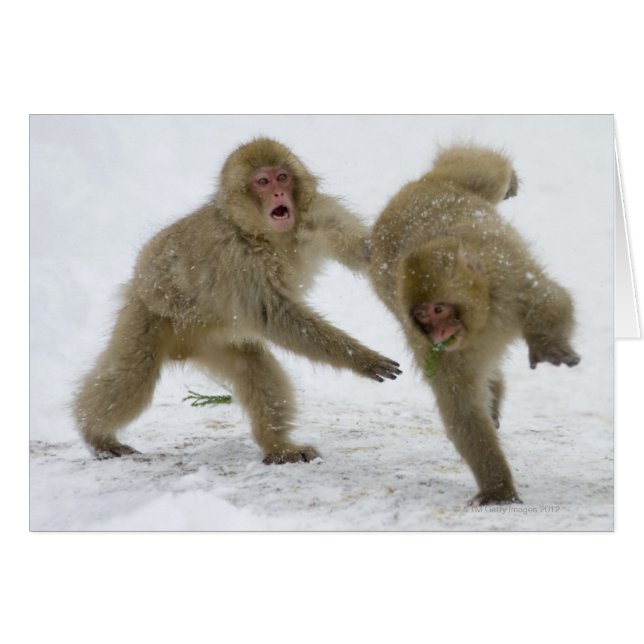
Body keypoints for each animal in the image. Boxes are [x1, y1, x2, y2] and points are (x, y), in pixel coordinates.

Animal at [74, 138, 401, 464]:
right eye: (263, 182)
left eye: (282, 177)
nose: (279, 193)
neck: (265, 235)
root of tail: (183, 349)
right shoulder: (236, 258)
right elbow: (276, 316)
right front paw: (362, 358)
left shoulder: (317, 212)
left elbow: (361, 250)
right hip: (148, 315)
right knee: (133, 375)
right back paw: (95, 434)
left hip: (215, 340)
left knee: (253, 364)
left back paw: (278, 447)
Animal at [369, 144, 580, 506]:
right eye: (423, 315)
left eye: (440, 309)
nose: (439, 331)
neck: (483, 317)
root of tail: (404, 193)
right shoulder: (433, 348)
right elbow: (463, 408)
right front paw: (498, 490)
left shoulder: (507, 281)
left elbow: (550, 298)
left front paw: (548, 345)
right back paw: (495, 392)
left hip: (461, 181)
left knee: (488, 170)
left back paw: (510, 179)